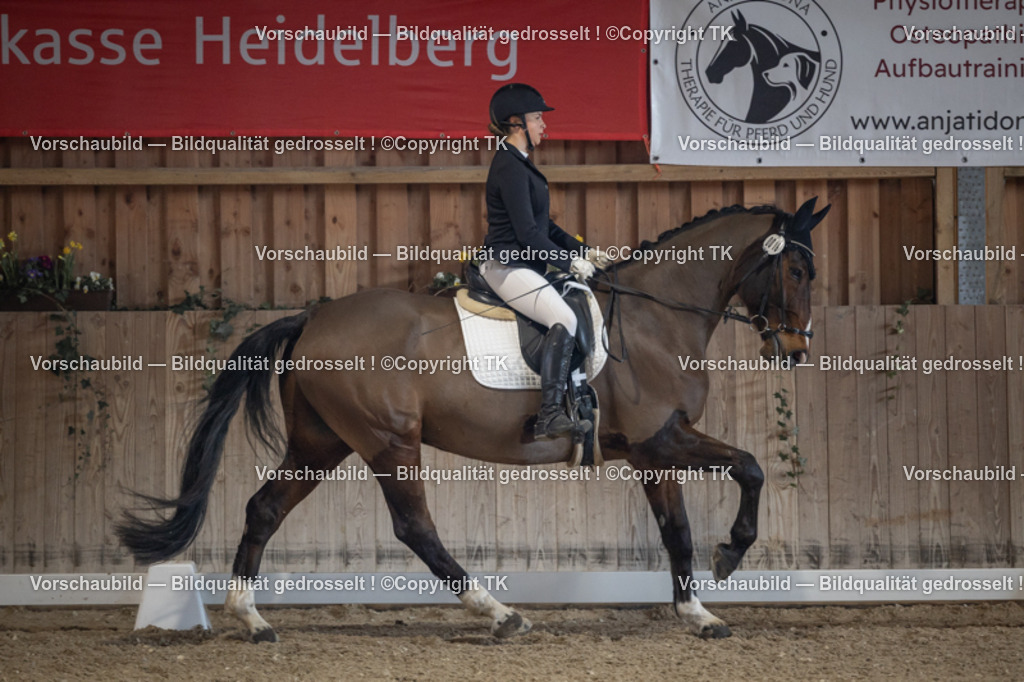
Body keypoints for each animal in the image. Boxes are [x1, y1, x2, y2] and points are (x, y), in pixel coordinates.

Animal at [116, 197, 829, 642]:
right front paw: (729, 558)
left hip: (321, 442)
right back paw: (499, 614)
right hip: (388, 441)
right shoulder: (665, 439)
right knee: (415, 527)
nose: (796, 350)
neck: (658, 317)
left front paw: (699, 612)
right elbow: (750, 468)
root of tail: (313, 317)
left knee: (264, 507)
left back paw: (252, 619)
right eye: (796, 268)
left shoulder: (655, 452)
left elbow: (679, 529)